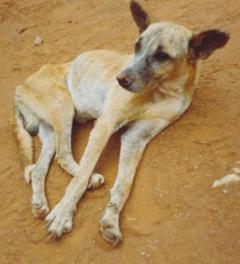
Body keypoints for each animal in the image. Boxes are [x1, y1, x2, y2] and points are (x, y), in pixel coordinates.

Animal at [14, 0, 229, 245]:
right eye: (137, 46)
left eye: (162, 55)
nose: (120, 79)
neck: (162, 92)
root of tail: (21, 85)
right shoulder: (105, 124)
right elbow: (79, 179)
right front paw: (63, 215)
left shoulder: (136, 137)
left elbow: (123, 185)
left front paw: (110, 220)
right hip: (63, 108)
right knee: (65, 157)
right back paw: (86, 182)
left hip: (50, 129)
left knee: (42, 168)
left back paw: (40, 203)